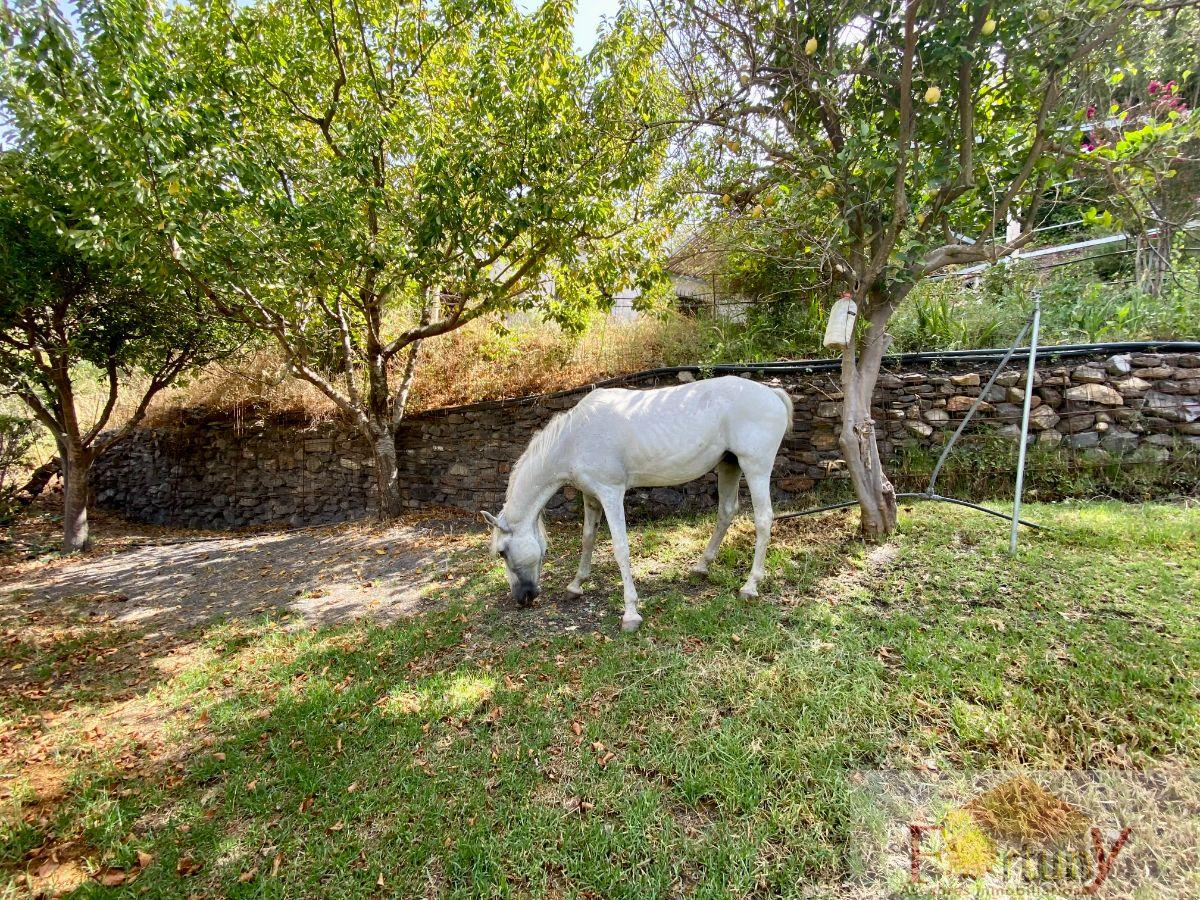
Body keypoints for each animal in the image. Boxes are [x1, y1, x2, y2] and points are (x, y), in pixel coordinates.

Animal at [482, 379, 792, 633]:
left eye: (502, 552)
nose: (522, 598)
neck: (575, 438)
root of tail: (771, 393)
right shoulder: (591, 497)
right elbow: (588, 539)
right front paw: (576, 585)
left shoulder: (611, 493)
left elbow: (620, 548)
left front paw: (630, 613)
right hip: (729, 465)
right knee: (726, 512)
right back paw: (702, 566)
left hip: (755, 468)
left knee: (763, 519)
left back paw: (750, 586)